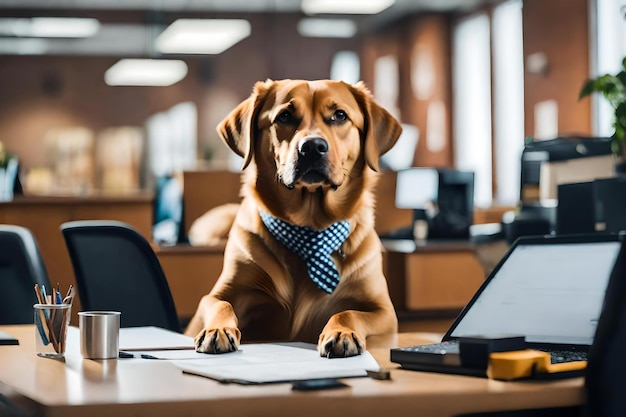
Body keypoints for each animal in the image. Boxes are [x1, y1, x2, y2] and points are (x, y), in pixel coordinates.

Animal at [183, 79, 402, 356]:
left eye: (340, 115)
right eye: (284, 116)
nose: (312, 147)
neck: (309, 225)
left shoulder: (384, 311)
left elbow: (348, 312)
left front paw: (341, 332)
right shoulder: (221, 293)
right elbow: (220, 303)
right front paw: (217, 329)